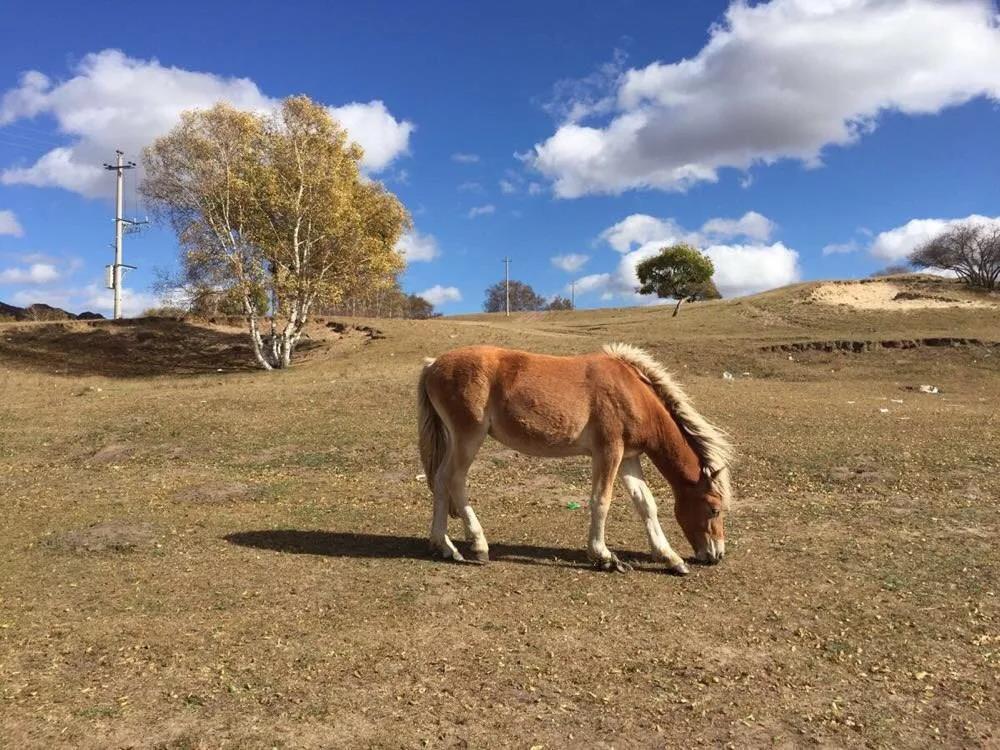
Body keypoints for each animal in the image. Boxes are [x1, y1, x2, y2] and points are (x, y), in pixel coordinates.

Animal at [416, 344, 736, 580]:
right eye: (714, 509)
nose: (716, 555)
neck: (631, 392)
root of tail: (433, 364)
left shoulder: (629, 457)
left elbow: (646, 504)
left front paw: (669, 557)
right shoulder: (608, 452)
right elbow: (601, 501)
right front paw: (603, 556)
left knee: (441, 481)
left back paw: (444, 546)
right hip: (469, 437)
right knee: (454, 480)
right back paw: (478, 545)